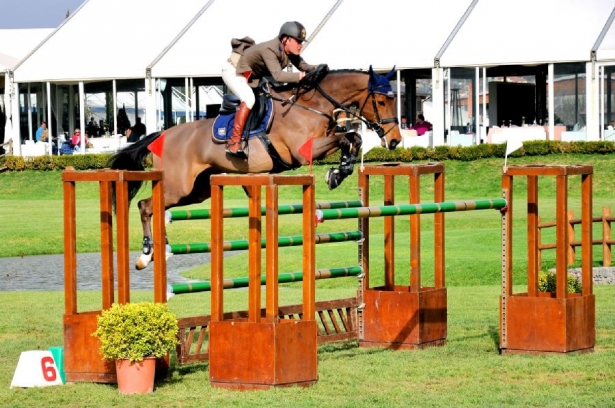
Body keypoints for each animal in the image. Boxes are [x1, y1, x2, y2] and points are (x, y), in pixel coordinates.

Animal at [108, 65, 402, 270]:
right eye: (382, 101)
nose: (395, 140)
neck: (312, 106)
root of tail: (162, 135)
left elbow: (352, 138)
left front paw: (341, 170)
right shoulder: (303, 151)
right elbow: (347, 137)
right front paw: (336, 173)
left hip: (196, 191)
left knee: (155, 207)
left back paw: (160, 249)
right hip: (177, 186)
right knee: (145, 206)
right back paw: (146, 253)